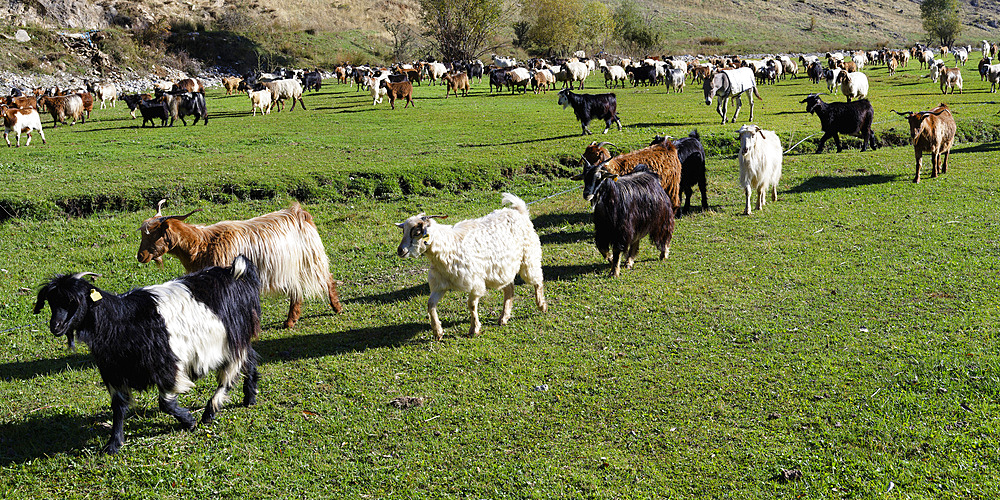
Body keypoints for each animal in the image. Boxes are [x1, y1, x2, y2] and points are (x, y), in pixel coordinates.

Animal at [32, 256, 262, 456]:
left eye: (75, 302)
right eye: (51, 302)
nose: (56, 326)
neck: (120, 322)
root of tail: (236, 272)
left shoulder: (166, 366)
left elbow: (165, 404)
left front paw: (188, 420)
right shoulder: (114, 373)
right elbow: (118, 408)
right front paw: (114, 443)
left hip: (233, 339)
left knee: (229, 374)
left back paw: (210, 411)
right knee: (250, 360)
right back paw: (249, 397)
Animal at [136, 199, 344, 328]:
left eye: (154, 235)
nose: (140, 256)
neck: (203, 243)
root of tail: (299, 212)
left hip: (312, 259)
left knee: (327, 278)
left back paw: (337, 308)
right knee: (297, 291)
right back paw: (290, 321)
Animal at [394, 191, 548, 340]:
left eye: (417, 232)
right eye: (403, 231)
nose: (400, 250)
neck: (447, 247)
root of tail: (519, 211)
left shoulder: (474, 281)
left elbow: (471, 305)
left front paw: (474, 329)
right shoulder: (440, 284)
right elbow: (430, 304)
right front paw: (437, 331)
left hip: (529, 257)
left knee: (537, 280)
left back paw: (542, 306)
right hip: (503, 268)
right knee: (509, 288)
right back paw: (503, 318)